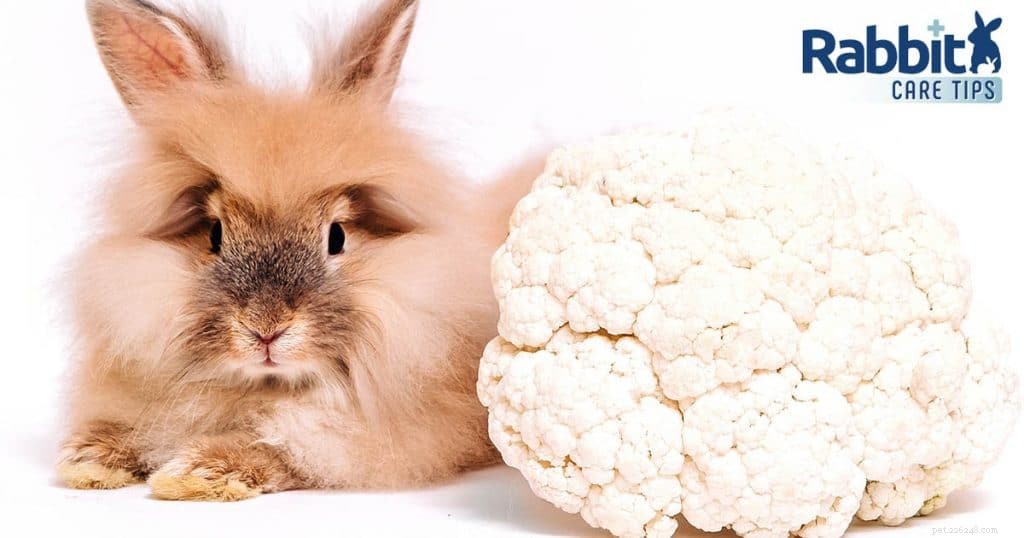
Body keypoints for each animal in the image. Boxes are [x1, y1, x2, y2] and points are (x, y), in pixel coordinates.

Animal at [57, 0, 534, 500]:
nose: (266, 330)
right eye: (215, 233)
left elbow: (289, 446)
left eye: (336, 236)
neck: (269, 386)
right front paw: (88, 457)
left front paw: (198, 472)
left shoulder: (381, 437)